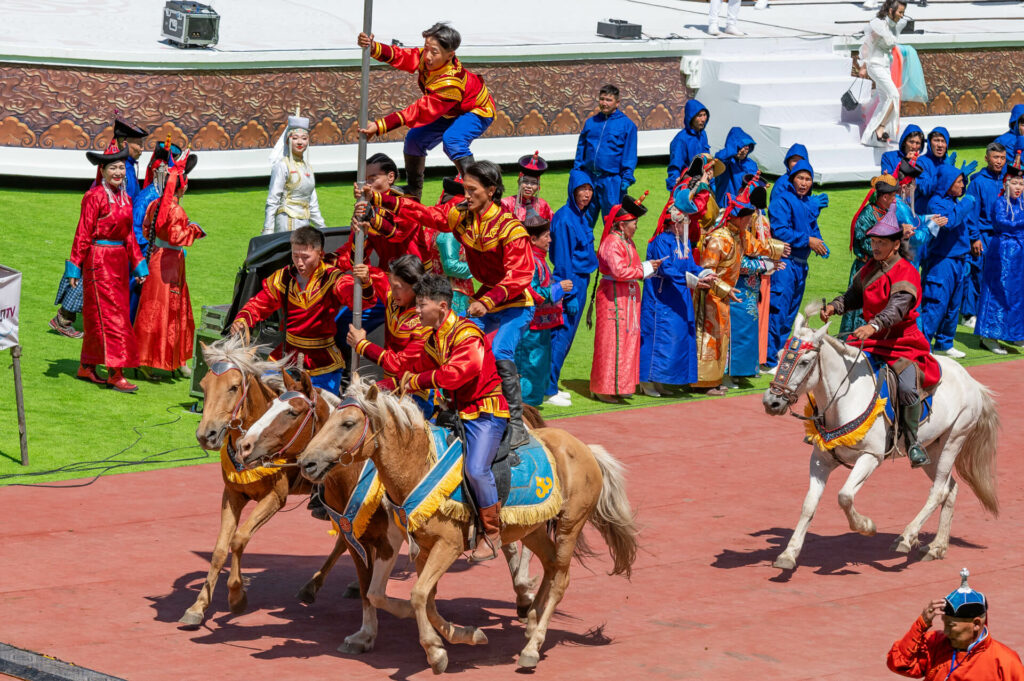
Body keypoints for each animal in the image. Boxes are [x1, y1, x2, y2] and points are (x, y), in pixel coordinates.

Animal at [182, 333, 346, 626]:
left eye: (234, 387)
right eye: (204, 385)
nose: (205, 435)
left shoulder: (274, 498)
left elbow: (238, 539)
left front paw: (236, 596)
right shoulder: (232, 495)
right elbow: (219, 549)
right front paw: (198, 605)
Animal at [294, 378, 638, 671]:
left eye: (348, 423)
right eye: (325, 422)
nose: (307, 462)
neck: (419, 466)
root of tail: (584, 449)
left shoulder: (447, 545)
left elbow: (416, 595)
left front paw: (435, 651)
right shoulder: (421, 547)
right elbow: (419, 598)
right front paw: (463, 635)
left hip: (569, 524)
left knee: (560, 580)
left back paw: (531, 648)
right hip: (534, 528)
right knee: (551, 566)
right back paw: (530, 620)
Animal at [765, 303, 995, 569]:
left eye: (804, 361)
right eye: (779, 355)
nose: (771, 401)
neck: (844, 396)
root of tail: (973, 382)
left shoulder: (870, 456)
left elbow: (844, 496)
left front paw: (865, 526)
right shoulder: (821, 459)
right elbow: (808, 505)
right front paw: (789, 553)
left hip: (953, 440)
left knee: (938, 491)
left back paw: (906, 537)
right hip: (932, 450)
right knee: (950, 488)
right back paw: (936, 546)